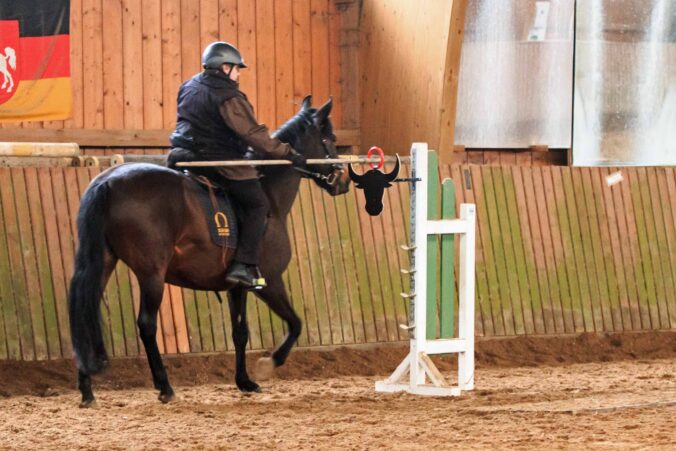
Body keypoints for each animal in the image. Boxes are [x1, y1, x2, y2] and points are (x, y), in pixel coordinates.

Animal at [69, 97, 352, 408]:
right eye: (329, 139)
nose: (343, 181)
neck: (269, 194)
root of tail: (108, 181)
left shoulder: (237, 287)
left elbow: (240, 332)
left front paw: (244, 381)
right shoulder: (270, 282)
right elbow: (295, 323)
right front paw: (268, 364)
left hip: (104, 262)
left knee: (84, 313)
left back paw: (87, 390)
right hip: (151, 274)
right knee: (146, 325)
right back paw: (164, 386)